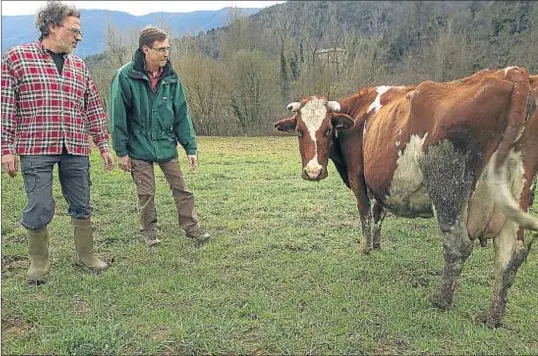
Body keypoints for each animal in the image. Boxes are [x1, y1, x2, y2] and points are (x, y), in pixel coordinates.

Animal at [274, 67, 536, 328]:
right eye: (299, 131)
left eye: (327, 130)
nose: (313, 172)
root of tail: (511, 73)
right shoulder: (381, 185)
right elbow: (378, 214)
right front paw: (377, 244)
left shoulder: (358, 178)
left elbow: (365, 214)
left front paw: (365, 248)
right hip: (516, 193)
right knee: (510, 254)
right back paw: (492, 316)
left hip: (448, 189)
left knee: (458, 245)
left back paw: (440, 300)